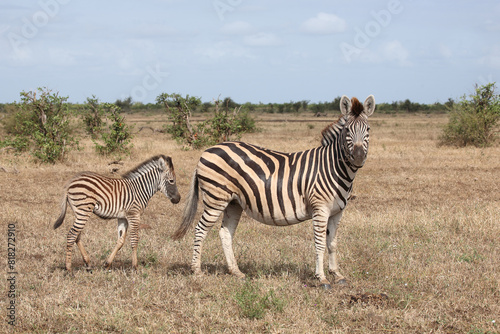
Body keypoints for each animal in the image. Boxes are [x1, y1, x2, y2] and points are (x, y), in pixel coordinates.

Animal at [52, 154, 181, 272]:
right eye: (171, 181)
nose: (178, 199)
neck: (140, 189)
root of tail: (70, 182)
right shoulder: (134, 215)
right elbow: (134, 239)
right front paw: (135, 267)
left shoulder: (123, 217)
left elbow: (120, 241)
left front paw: (107, 264)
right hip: (83, 210)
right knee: (72, 235)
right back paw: (68, 268)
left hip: (79, 212)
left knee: (77, 235)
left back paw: (87, 263)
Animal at [174, 94, 374, 288]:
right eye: (347, 130)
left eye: (368, 129)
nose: (358, 157)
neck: (333, 168)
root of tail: (206, 151)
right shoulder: (320, 209)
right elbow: (320, 244)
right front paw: (322, 278)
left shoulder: (337, 212)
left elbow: (332, 243)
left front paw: (337, 275)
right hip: (216, 198)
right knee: (200, 229)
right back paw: (196, 271)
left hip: (233, 203)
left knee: (225, 233)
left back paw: (236, 272)